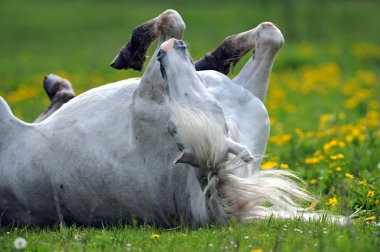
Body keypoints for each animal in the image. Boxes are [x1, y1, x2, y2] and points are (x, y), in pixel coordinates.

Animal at [0, 9, 344, 226]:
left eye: (173, 128)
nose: (167, 53)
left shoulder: (150, 89)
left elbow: (176, 20)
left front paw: (136, 50)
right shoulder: (248, 100)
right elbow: (268, 35)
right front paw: (213, 58)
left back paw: (59, 86)